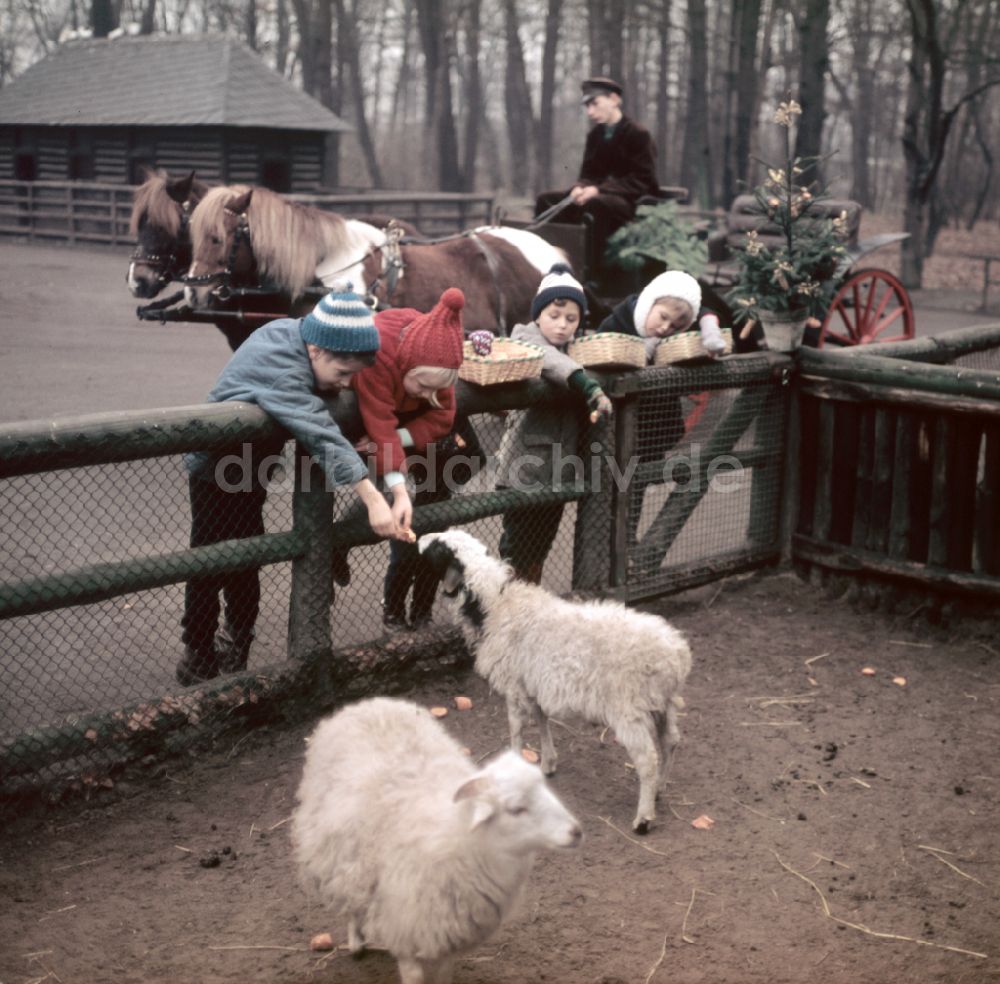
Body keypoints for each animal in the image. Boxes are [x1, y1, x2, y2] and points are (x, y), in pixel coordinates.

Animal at [290, 696, 584, 980]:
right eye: (516, 809)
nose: (576, 831)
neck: (461, 840)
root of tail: (364, 704)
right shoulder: (405, 925)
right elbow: (413, 975)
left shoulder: (448, 933)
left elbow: (443, 974)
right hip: (336, 851)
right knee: (350, 895)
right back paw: (356, 942)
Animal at [418, 528, 692, 836]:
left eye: (438, 548)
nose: (417, 539)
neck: (495, 607)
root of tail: (676, 655)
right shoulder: (533, 682)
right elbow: (541, 719)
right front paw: (547, 764)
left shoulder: (514, 684)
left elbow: (515, 728)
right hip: (663, 702)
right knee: (670, 741)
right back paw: (658, 790)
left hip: (629, 707)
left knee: (647, 759)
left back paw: (643, 818)